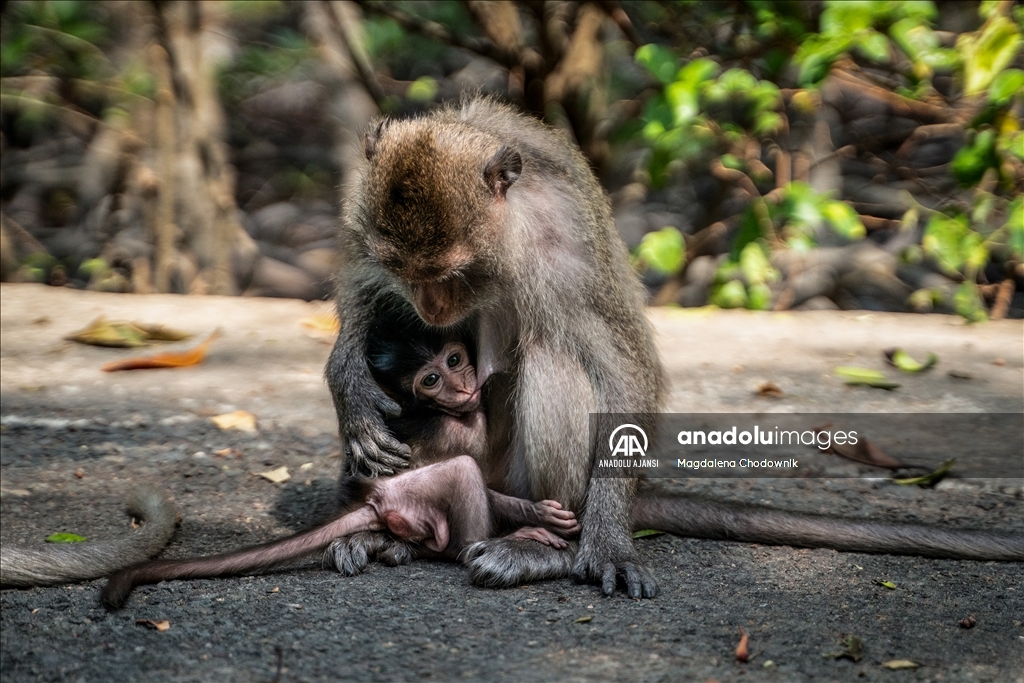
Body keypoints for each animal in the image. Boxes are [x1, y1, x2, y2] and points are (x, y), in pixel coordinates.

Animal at [327, 96, 663, 598]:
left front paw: (609, 542)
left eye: (449, 273)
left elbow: (626, 376)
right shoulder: (362, 233)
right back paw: (382, 534)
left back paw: (541, 547)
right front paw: (350, 386)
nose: (428, 307)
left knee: (553, 353)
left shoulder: (565, 255)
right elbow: (364, 293)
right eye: (402, 270)